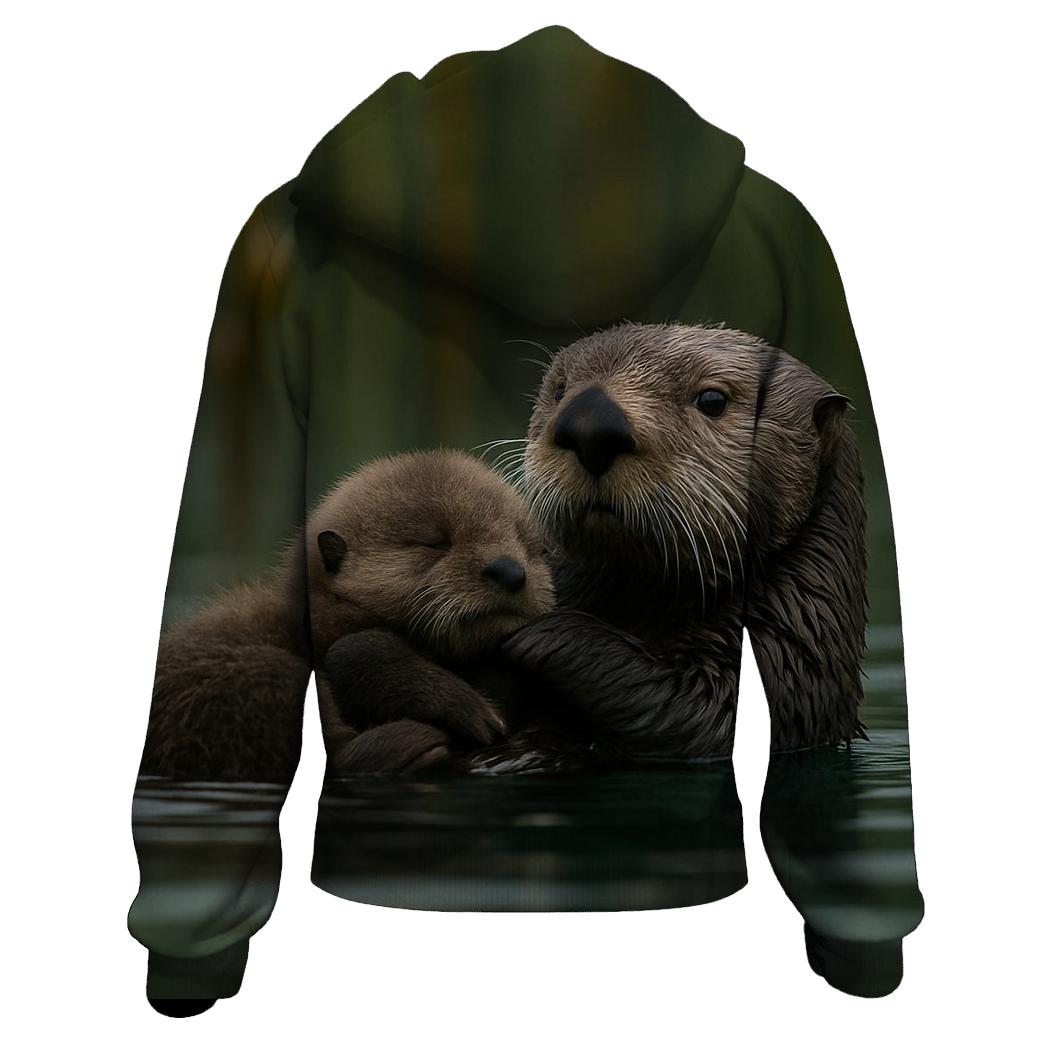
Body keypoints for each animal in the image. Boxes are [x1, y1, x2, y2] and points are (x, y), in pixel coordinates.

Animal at [500, 322, 867, 757]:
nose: (590, 424)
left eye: (712, 399)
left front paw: (536, 631)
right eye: (559, 390)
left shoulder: (785, 666)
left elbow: (698, 710)